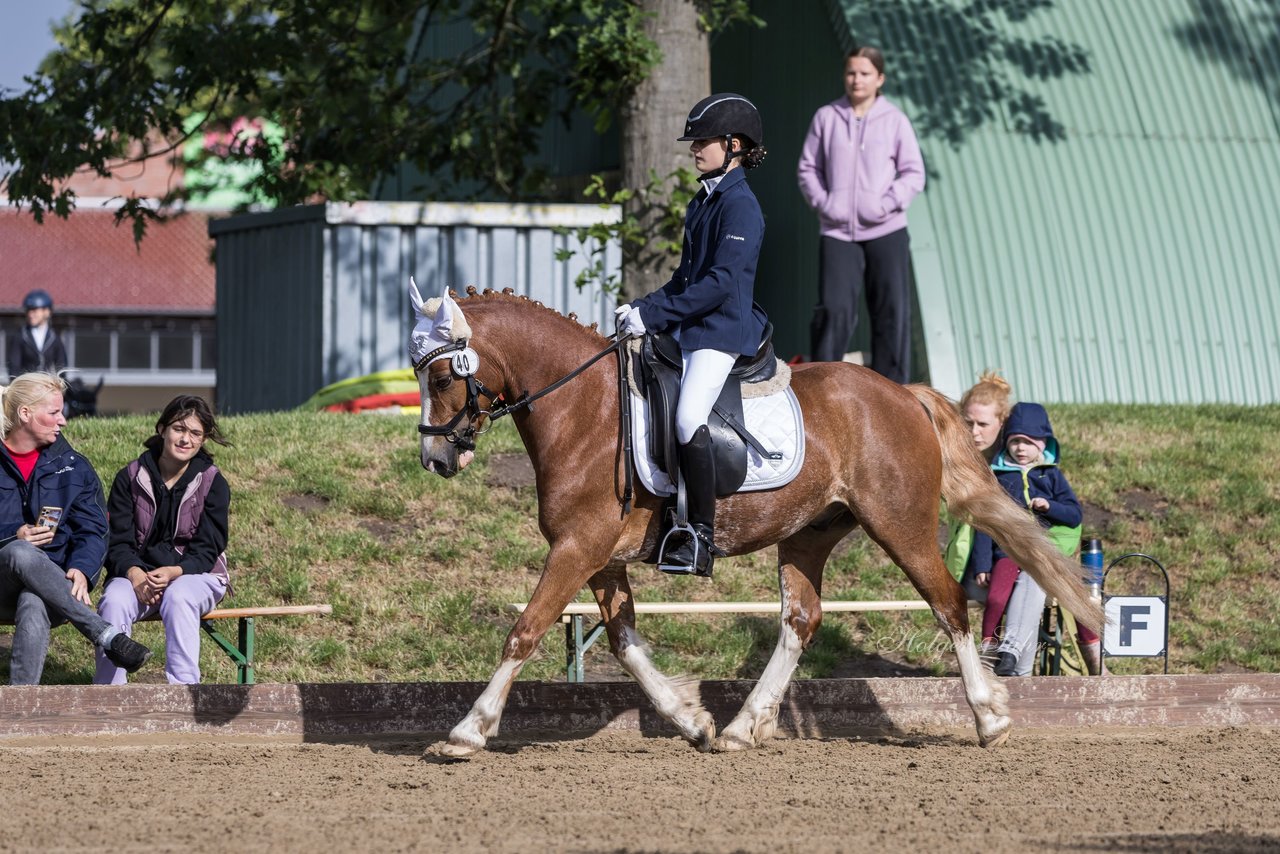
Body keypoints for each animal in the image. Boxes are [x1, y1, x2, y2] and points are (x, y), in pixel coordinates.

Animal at [409, 285, 1100, 752]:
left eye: (442, 375)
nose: (435, 458)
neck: (585, 409)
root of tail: (904, 393)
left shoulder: (577, 548)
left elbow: (523, 631)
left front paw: (467, 731)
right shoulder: (598, 557)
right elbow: (626, 642)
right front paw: (692, 720)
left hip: (898, 526)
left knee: (950, 604)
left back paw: (990, 717)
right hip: (807, 535)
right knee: (801, 621)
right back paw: (744, 725)